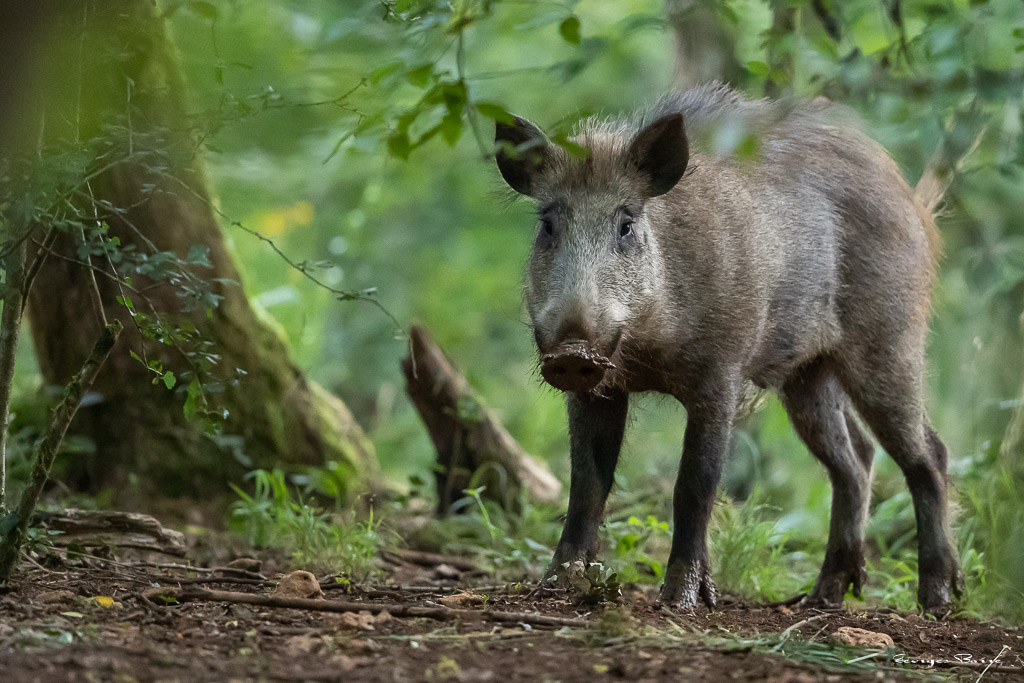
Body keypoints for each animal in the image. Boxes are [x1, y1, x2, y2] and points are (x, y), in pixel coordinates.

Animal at [493, 83, 962, 615]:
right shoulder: (599, 389)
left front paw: (681, 602)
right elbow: (587, 484)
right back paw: (820, 599)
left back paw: (937, 602)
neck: (648, 349)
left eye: (626, 224)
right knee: (856, 461)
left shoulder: (721, 376)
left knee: (929, 455)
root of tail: (914, 204)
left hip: (890, 344)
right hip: (807, 376)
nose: (574, 348)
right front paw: (554, 588)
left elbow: (694, 486)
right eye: (548, 225)